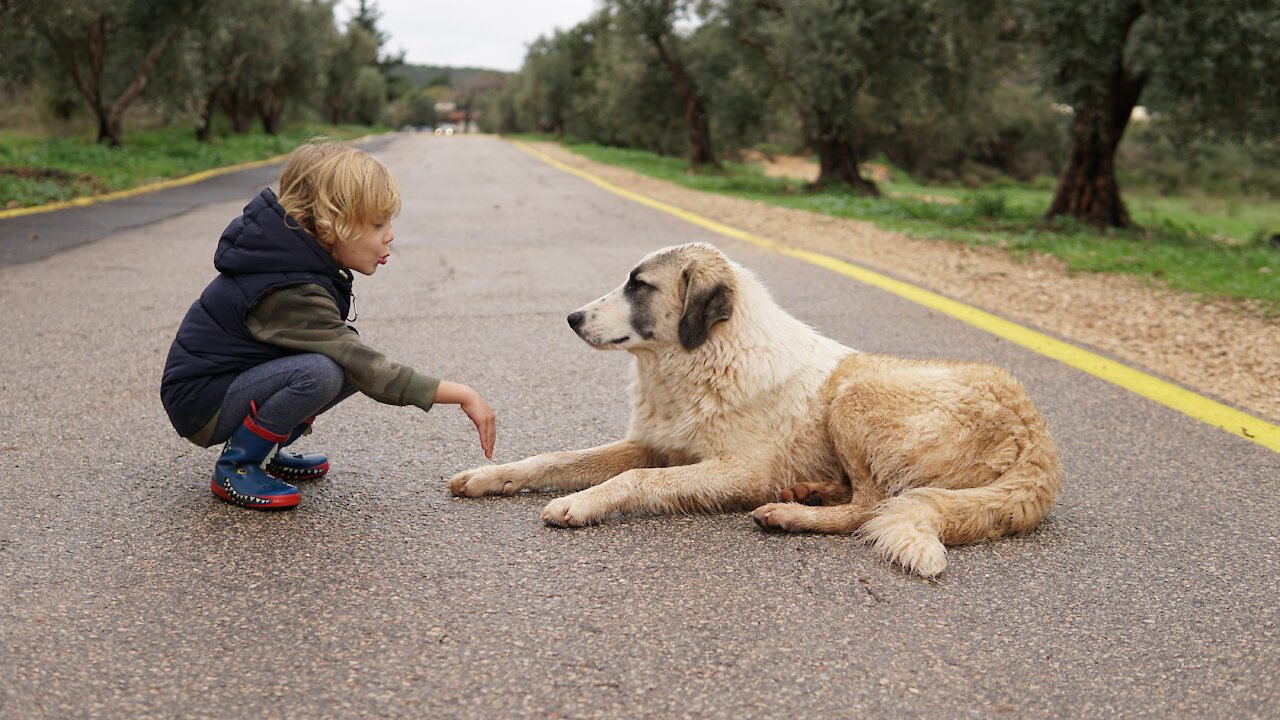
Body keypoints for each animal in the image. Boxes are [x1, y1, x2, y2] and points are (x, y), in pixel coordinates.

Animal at [450, 243, 1059, 573]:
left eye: (639, 286)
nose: (572, 318)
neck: (701, 359)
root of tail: (1038, 435)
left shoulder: (737, 472)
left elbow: (638, 481)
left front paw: (580, 503)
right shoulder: (651, 444)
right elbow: (555, 459)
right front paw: (490, 475)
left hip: (855, 394)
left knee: (871, 506)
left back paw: (790, 514)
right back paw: (808, 492)